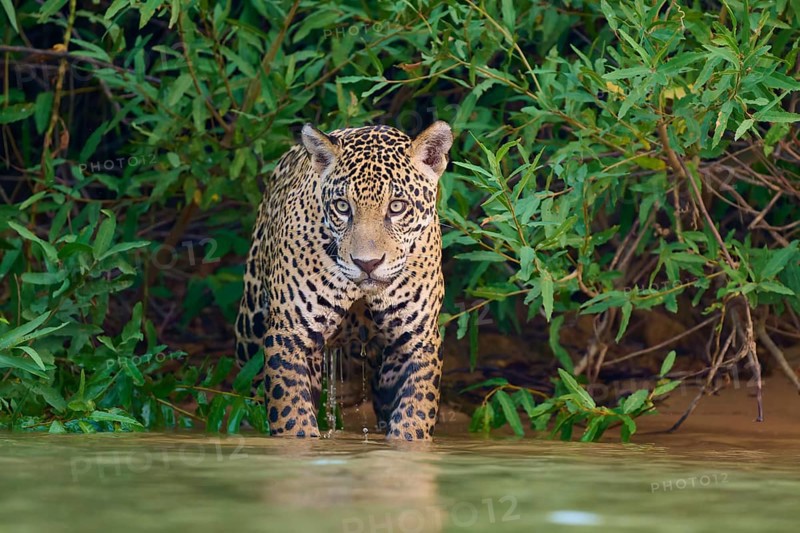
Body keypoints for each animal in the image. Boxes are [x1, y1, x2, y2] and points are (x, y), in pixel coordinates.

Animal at [235, 121, 453, 440]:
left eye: (397, 206)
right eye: (342, 206)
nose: (367, 264)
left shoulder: (417, 338)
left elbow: (413, 418)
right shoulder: (290, 334)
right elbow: (291, 418)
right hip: (250, 329)